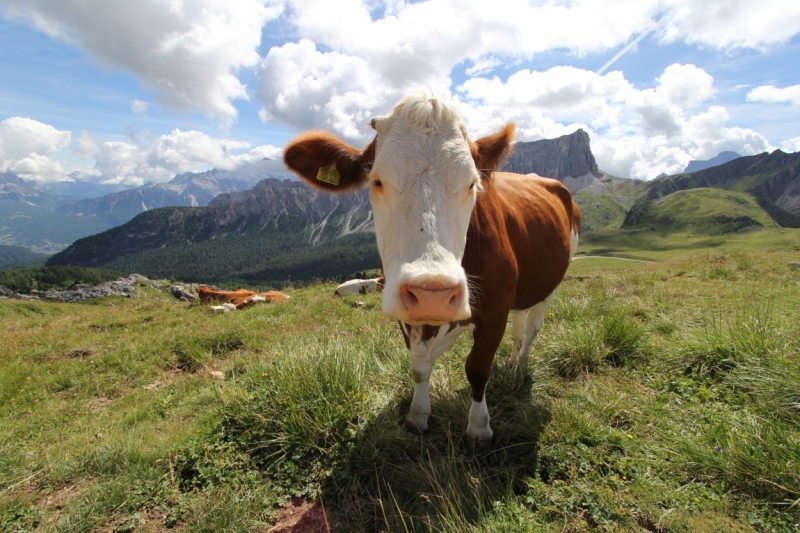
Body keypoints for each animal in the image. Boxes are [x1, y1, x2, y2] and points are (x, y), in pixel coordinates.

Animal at [284, 93, 580, 446]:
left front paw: (479, 427)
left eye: (472, 184)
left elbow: (477, 368)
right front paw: (417, 416)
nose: (432, 295)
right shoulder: (406, 310)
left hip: (551, 284)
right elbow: (419, 367)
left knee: (533, 326)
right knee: (520, 322)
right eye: (376, 180)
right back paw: (511, 361)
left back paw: (520, 366)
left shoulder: (494, 310)